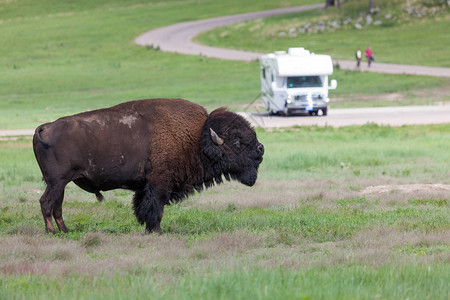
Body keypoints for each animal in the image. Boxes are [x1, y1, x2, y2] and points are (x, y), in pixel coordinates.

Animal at [33, 98, 264, 234]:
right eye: (237, 141)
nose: (261, 150)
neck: (198, 136)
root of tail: (44, 128)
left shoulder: (145, 187)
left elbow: (143, 207)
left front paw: (147, 229)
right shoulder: (160, 184)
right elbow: (156, 208)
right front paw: (157, 231)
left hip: (61, 183)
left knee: (57, 206)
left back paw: (66, 231)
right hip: (57, 182)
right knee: (47, 203)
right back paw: (52, 232)